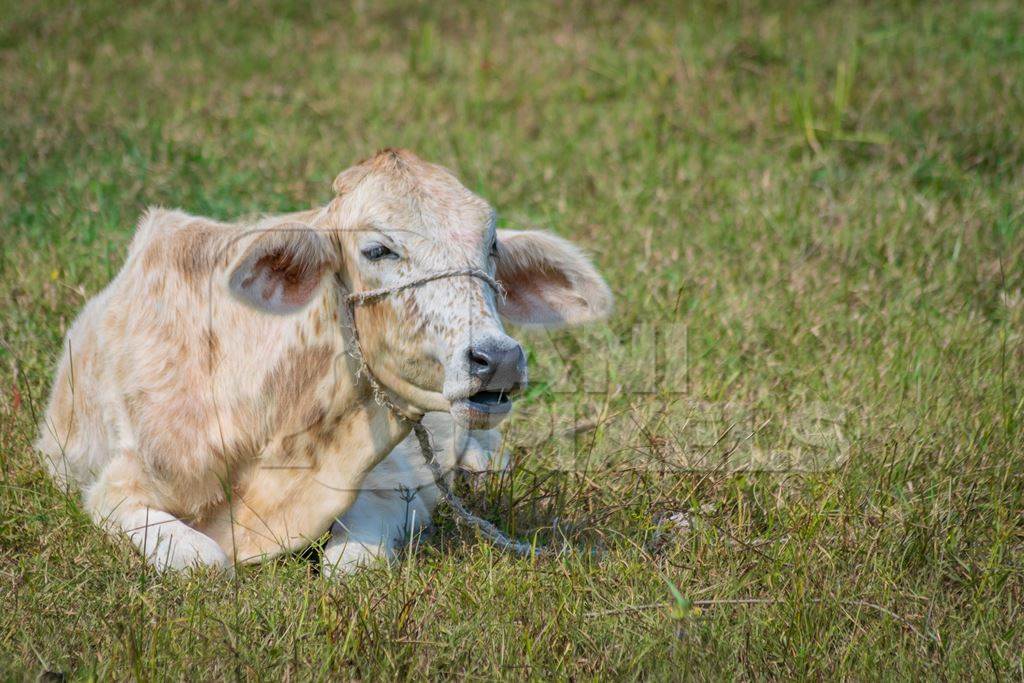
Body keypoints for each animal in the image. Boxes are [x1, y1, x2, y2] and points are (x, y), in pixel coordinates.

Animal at [37, 148, 614, 573]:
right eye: (378, 250)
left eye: (491, 245)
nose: (498, 359)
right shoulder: (115, 487)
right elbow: (206, 561)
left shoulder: (395, 483)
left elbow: (349, 565)